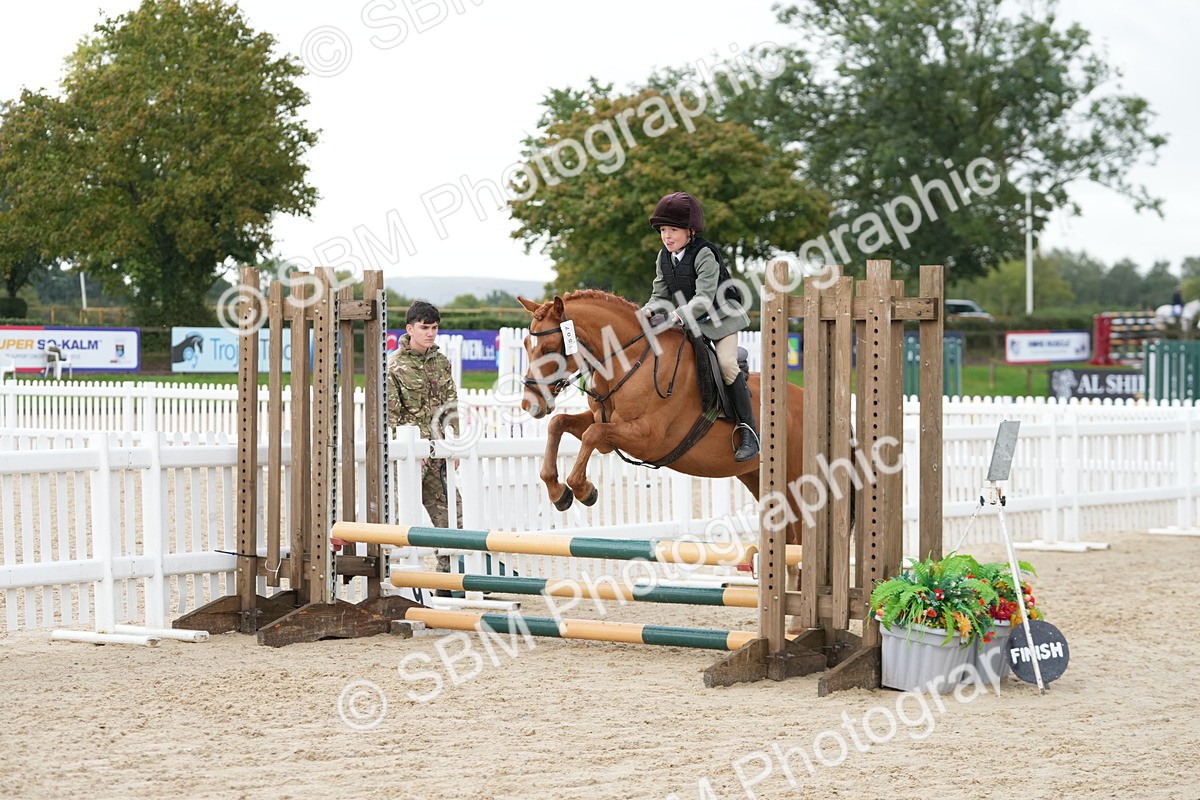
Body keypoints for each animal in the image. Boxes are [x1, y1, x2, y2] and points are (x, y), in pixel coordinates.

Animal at [516, 290, 808, 588]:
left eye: (550, 349)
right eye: (527, 344)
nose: (530, 404)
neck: (629, 360)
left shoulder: (648, 438)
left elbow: (591, 435)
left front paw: (584, 490)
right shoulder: (604, 426)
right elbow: (559, 424)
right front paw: (558, 492)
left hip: (795, 481)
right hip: (756, 478)